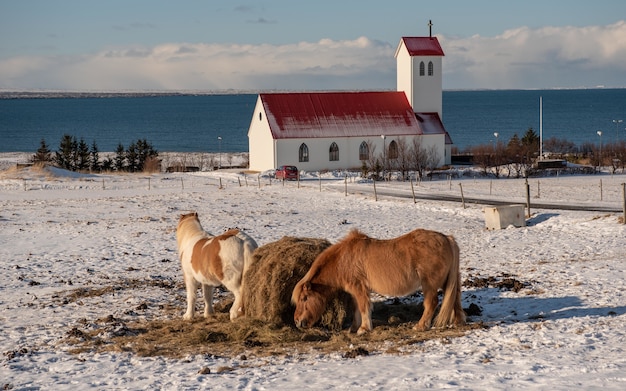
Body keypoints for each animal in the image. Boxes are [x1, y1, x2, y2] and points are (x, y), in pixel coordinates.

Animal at [290, 228, 460, 336]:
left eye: (304, 298)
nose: (297, 322)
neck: (344, 260)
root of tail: (447, 238)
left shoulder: (360, 288)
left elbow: (363, 307)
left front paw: (364, 329)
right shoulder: (356, 291)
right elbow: (356, 309)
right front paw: (354, 328)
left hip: (429, 284)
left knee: (431, 303)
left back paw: (420, 326)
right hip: (447, 283)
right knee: (455, 300)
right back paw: (457, 321)